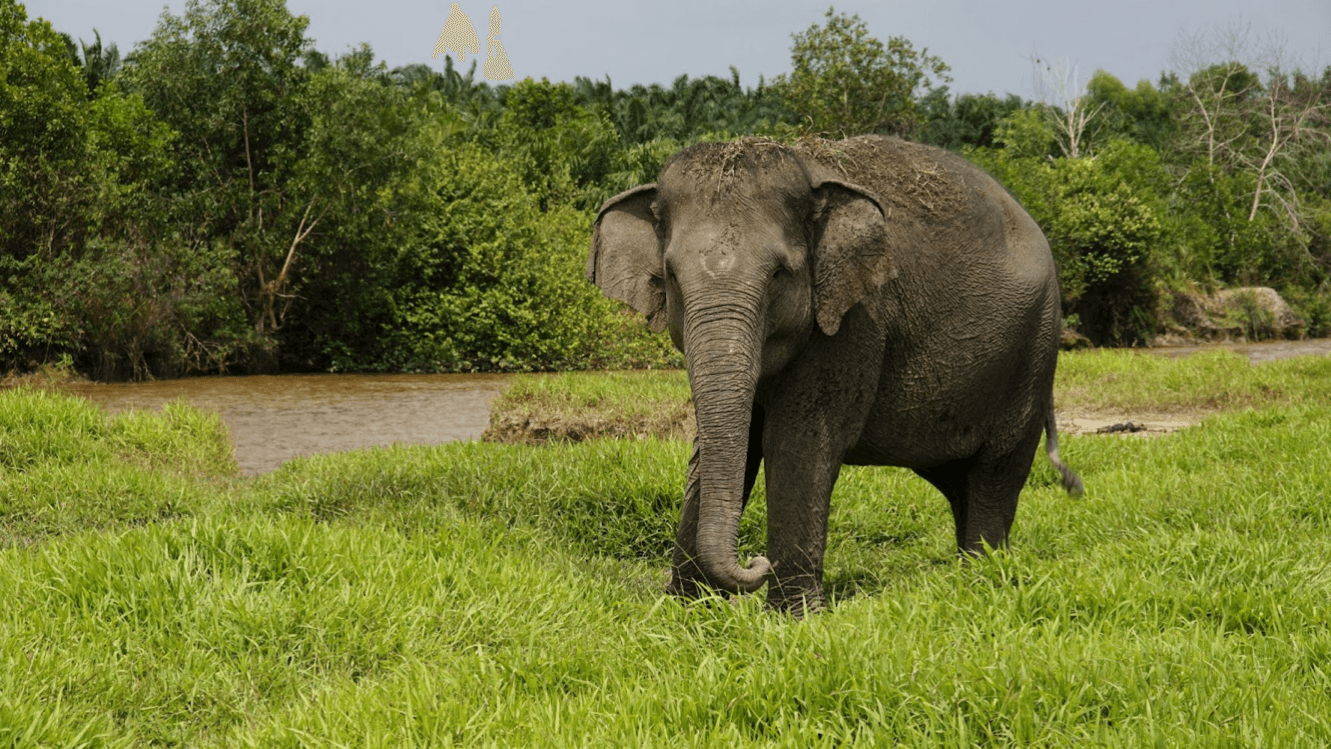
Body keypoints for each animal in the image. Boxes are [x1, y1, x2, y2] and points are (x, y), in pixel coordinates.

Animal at [587, 135, 1082, 615]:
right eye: (670, 275)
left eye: (779, 275)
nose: (756, 560)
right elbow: (728, 444)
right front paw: (683, 611)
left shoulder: (855, 321)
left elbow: (796, 442)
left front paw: (793, 618)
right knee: (959, 481)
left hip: (1033, 352)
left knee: (995, 473)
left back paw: (980, 579)